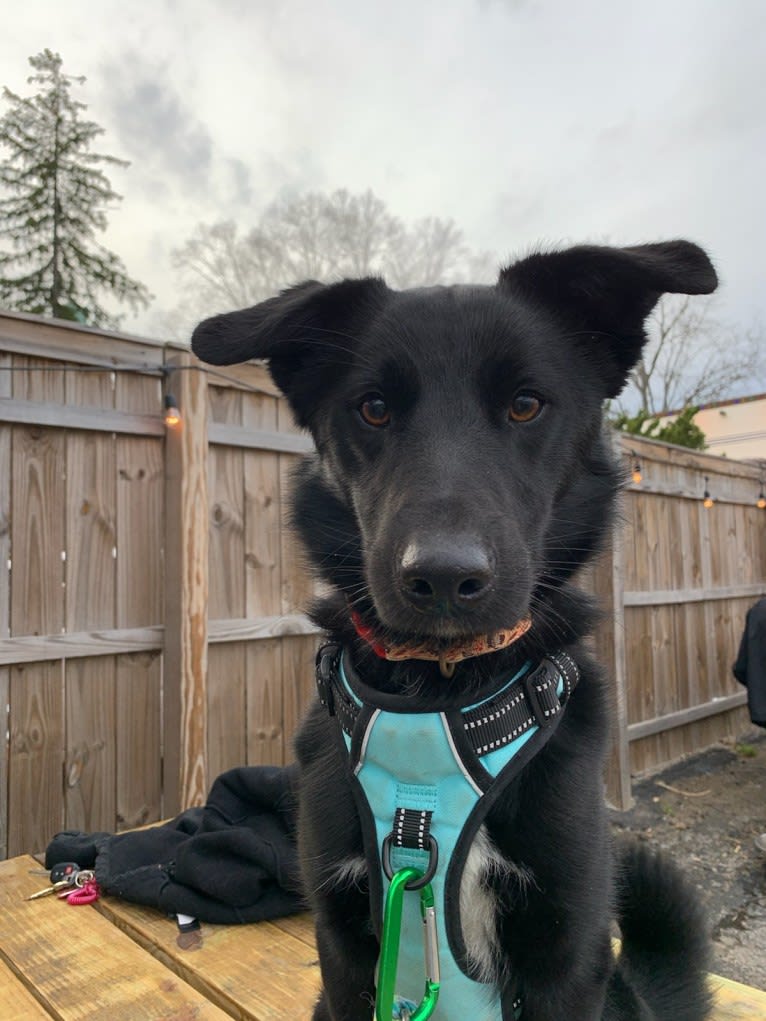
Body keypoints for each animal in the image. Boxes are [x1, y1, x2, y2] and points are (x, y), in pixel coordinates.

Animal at [193, 242, 719, 1021]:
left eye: (525, 403)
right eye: (374, 408)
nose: (442, 577)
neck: (438, 689)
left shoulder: (566, 954)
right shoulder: (344, 951)